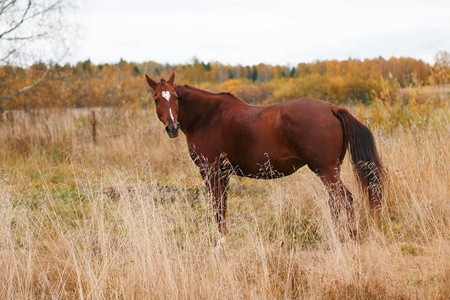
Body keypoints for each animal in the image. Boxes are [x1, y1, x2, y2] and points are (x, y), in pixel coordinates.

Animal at [146, 71, 384, 240]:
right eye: (157, 99)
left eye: (176, 97)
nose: (172, 127)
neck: (207, 116)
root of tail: (333, 108)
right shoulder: (223, 173)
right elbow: (222, 205)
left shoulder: (210, 170)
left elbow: (217, 206)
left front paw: (220, 243)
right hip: (332, 169)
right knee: (335, 201)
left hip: (325, 170)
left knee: (345, 199)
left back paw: (352, 238)